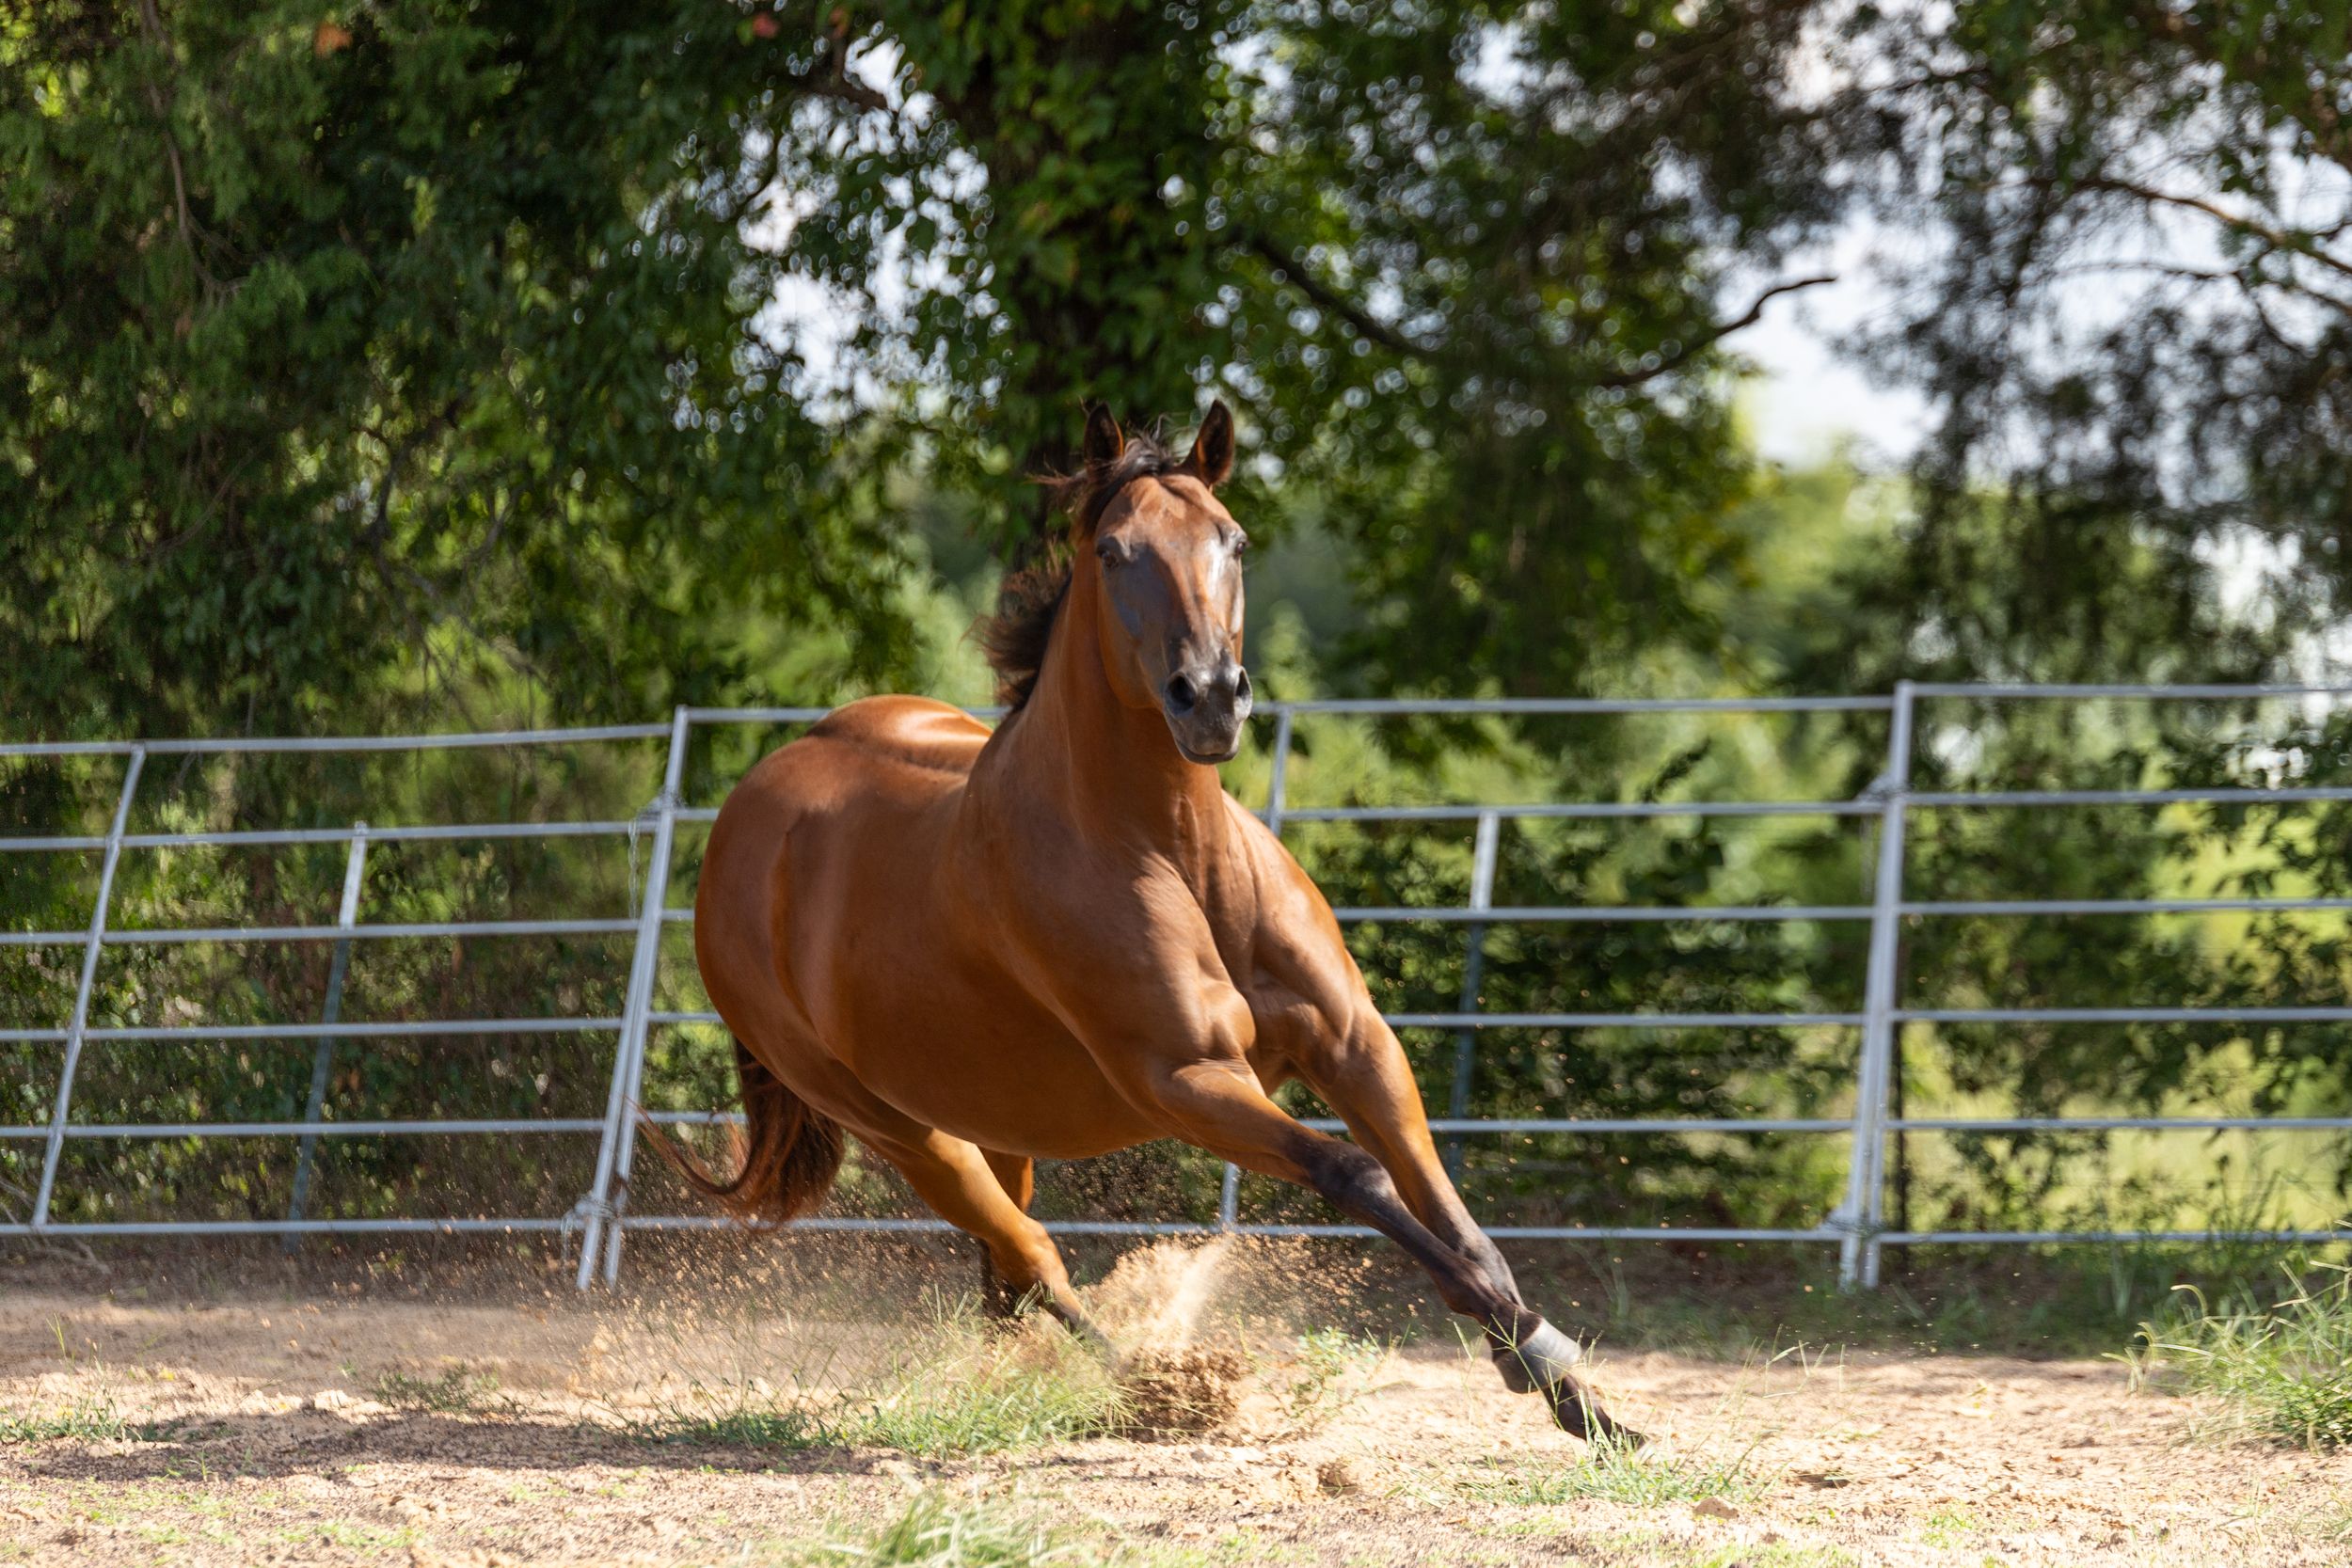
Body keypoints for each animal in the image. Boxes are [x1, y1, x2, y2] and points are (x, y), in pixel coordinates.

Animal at [648, 401, 1638, 1443]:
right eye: (1115, 549)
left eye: (1234, 540)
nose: (1208, 696)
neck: (1176, 854)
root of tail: (740, 824)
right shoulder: (1187, 1078)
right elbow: (1355, 1174)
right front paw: (1538, 1354)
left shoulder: (1355, 1042)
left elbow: (1447, 1208)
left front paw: (1572, 1390)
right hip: (905, 1131)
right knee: (1031, 1257)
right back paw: (1156, 1387)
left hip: (998, 1120)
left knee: (1006, 1278)